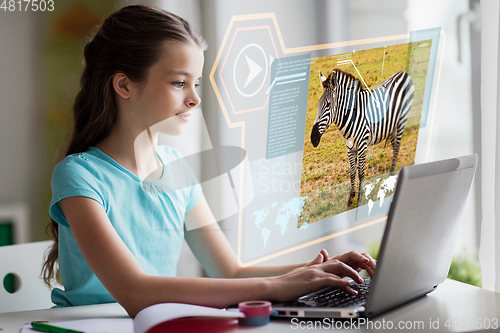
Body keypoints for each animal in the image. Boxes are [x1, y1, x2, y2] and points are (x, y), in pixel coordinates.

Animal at [310, 68, 416, 206]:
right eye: (318, 104)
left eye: (328, 104)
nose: (313, 138)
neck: (351, 116)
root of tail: (404, 73)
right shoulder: (350, 147)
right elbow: (351, 172)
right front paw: (350, 198)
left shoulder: (362, 145)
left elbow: (360, 173)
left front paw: (359, 198)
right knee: (394, 145)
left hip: (401, 120)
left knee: (397, 148)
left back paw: (391, 176)